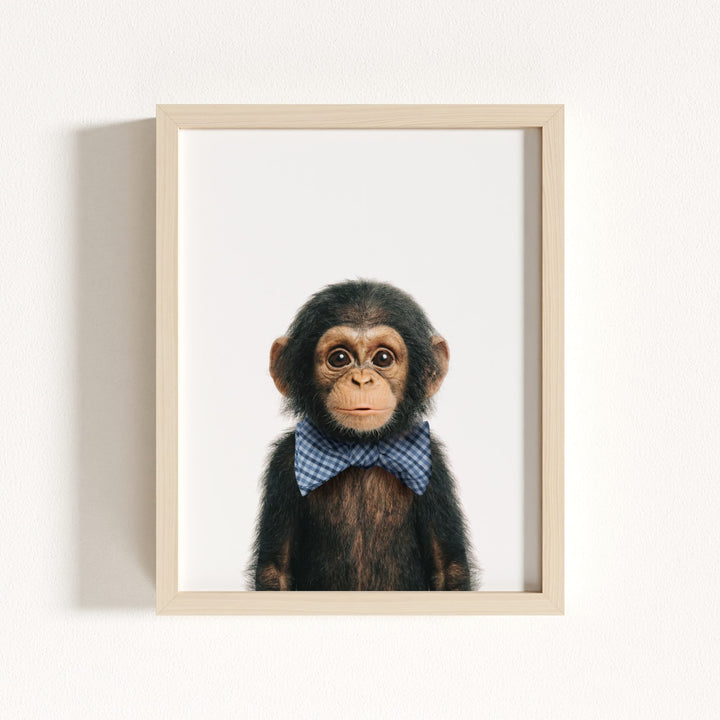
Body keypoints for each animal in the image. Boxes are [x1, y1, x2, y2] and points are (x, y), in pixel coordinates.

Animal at [249, 279, 477, 591]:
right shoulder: (284, 462)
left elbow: (449, 569)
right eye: (339, 358)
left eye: (383, 358)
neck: (360, 448)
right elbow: (275, 570)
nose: (361, 379)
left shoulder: (433, 465)